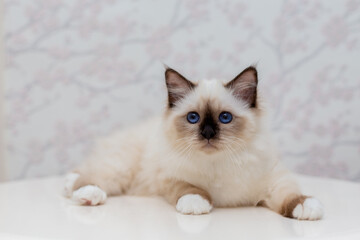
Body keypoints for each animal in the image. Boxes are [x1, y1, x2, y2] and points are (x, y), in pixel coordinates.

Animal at [64, 66, 324, 220]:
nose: (208, 133)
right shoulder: (171, 177)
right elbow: (191, 189)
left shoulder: (275, 180)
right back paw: (84, 193)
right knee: (89, 176)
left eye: (225, 118)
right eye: (193, 118)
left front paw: (307, 207)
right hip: (120, 170)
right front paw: (196, 204)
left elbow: (291, 196)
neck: (219, 163)